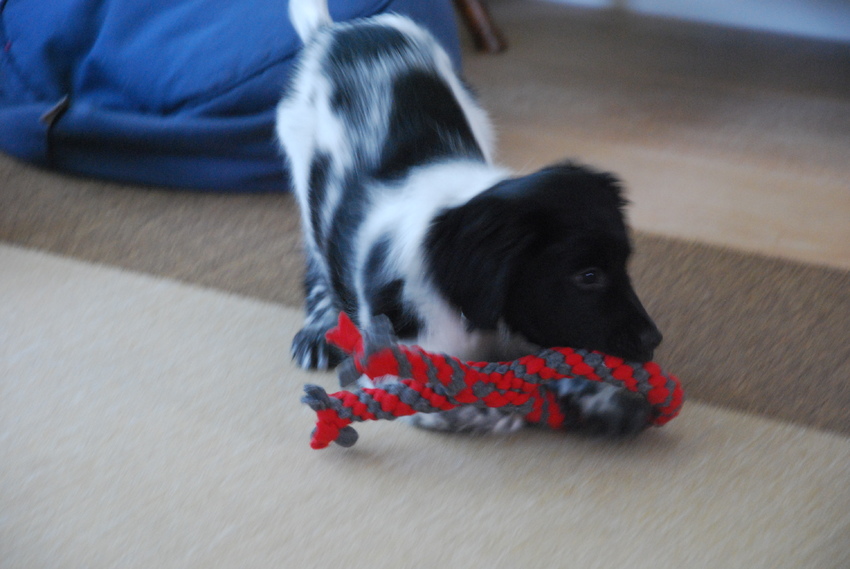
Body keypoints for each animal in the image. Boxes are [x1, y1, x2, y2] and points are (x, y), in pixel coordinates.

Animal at [276, 0, 663, 436]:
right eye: (588, 276)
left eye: (626, 265)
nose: (653, 340)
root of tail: (340, 31)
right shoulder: (405, 358)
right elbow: (453, 395)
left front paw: (609, 399)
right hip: (300, 165)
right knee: (317, 259)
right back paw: (318, 329)